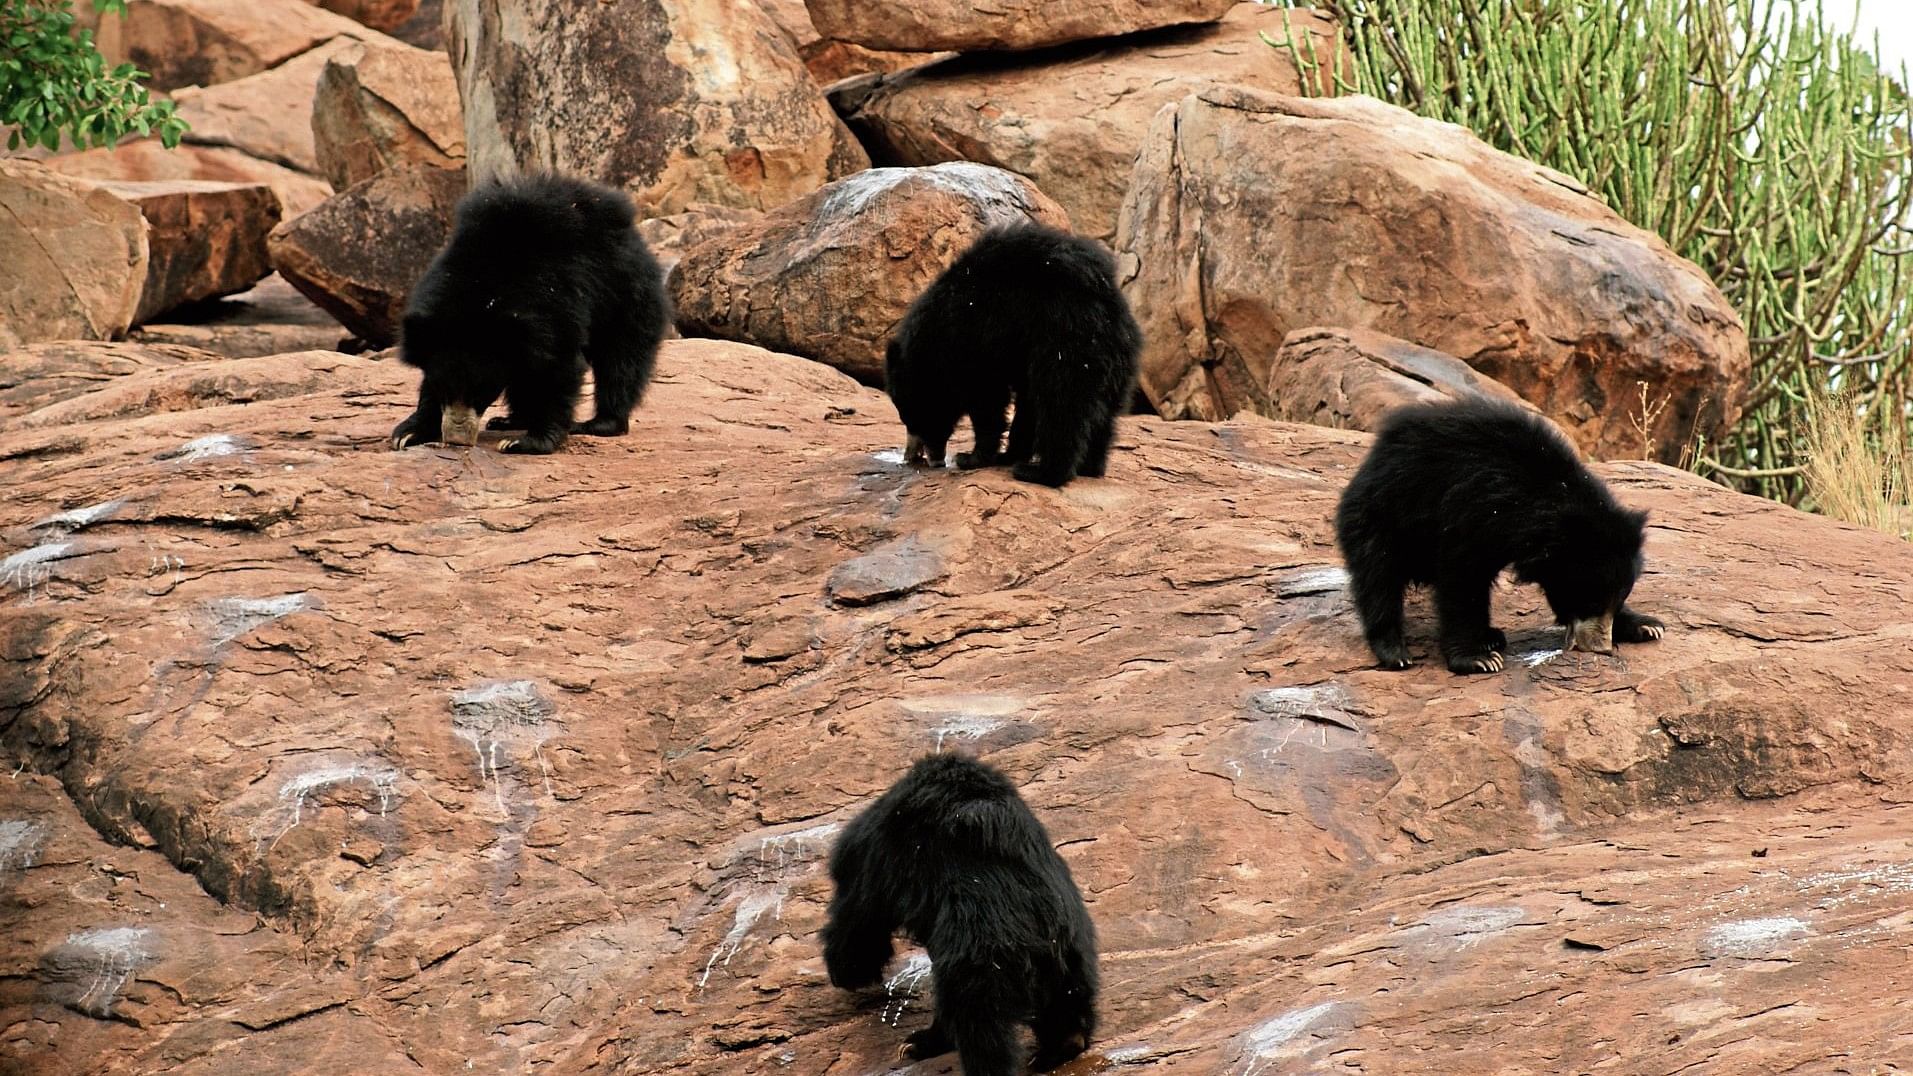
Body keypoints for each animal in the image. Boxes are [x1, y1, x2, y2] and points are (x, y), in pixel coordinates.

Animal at [384, 170, 669, 451]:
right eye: (443, 389)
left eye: (481, 392)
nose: (457, 439)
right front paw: (408, 433)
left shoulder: (555, 304)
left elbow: (560, 366)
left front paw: (524, 442)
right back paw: (508, 421)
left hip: (626, 295)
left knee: (621, 360)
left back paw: (600, 423)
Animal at [814, 750, 1101, 1064]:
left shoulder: (879, 856)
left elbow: (860, 917)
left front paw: (847, 972)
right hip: (1071, 955)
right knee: (1067, 1004)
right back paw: (1062, 1046)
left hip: (980, 966)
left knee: (977, 1028)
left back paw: (919, 1045)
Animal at [879, 222, 1132, 486]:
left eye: (915, 416)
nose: (918, 457)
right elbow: (1023, 402)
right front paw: (1005, 454)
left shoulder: (978, 340)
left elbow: (987, 400)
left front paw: (970, 458)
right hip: (1118, 359)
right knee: (1103, 414)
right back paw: (1090, 467)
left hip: (1066, 342)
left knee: (1060, 403)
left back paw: (1041, 473)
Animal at [1339, 398, 1668, 673]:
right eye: (1591, 602)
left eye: (1616, 599)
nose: (1602, 648)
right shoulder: (1474, 508)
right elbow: (1461, 579)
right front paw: (1477, 659)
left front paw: (1647, 626)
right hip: (1382, 516)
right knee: (1378, 579)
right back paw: (1395, 651)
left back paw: (1491, 636)